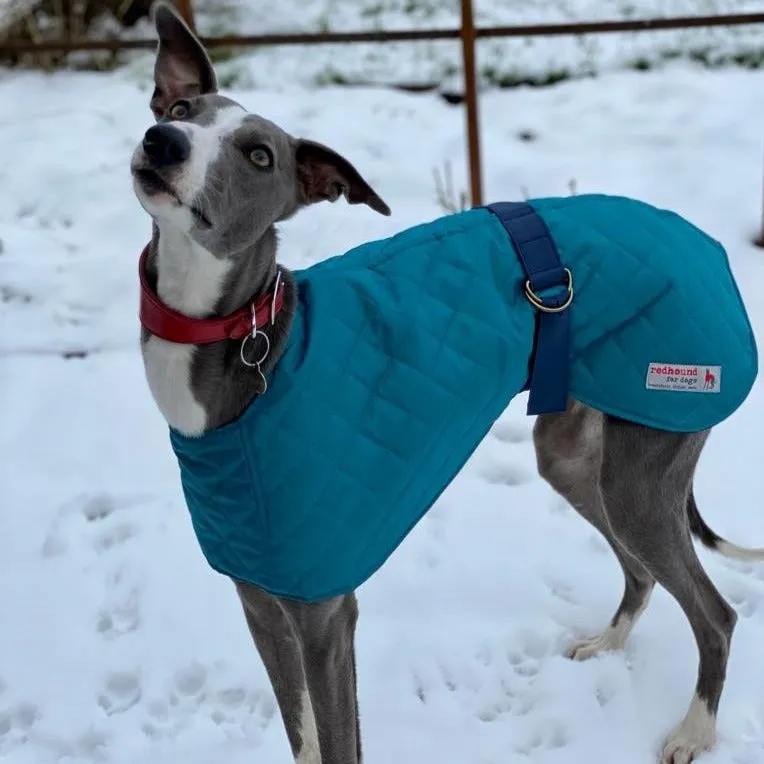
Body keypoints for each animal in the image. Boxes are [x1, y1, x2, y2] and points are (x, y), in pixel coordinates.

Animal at [133, 2, 764, 760]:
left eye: (260, 156)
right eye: (181, 108)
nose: (162, 141)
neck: (259, 345)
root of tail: (708, 249)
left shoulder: (324, 613)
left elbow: (337, 740)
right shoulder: (260, 599)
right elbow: (303, 736)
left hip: (645, 463)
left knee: (717, 614)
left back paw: (694, 729)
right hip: (575, 455)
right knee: (640, 571)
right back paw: (607, 643)